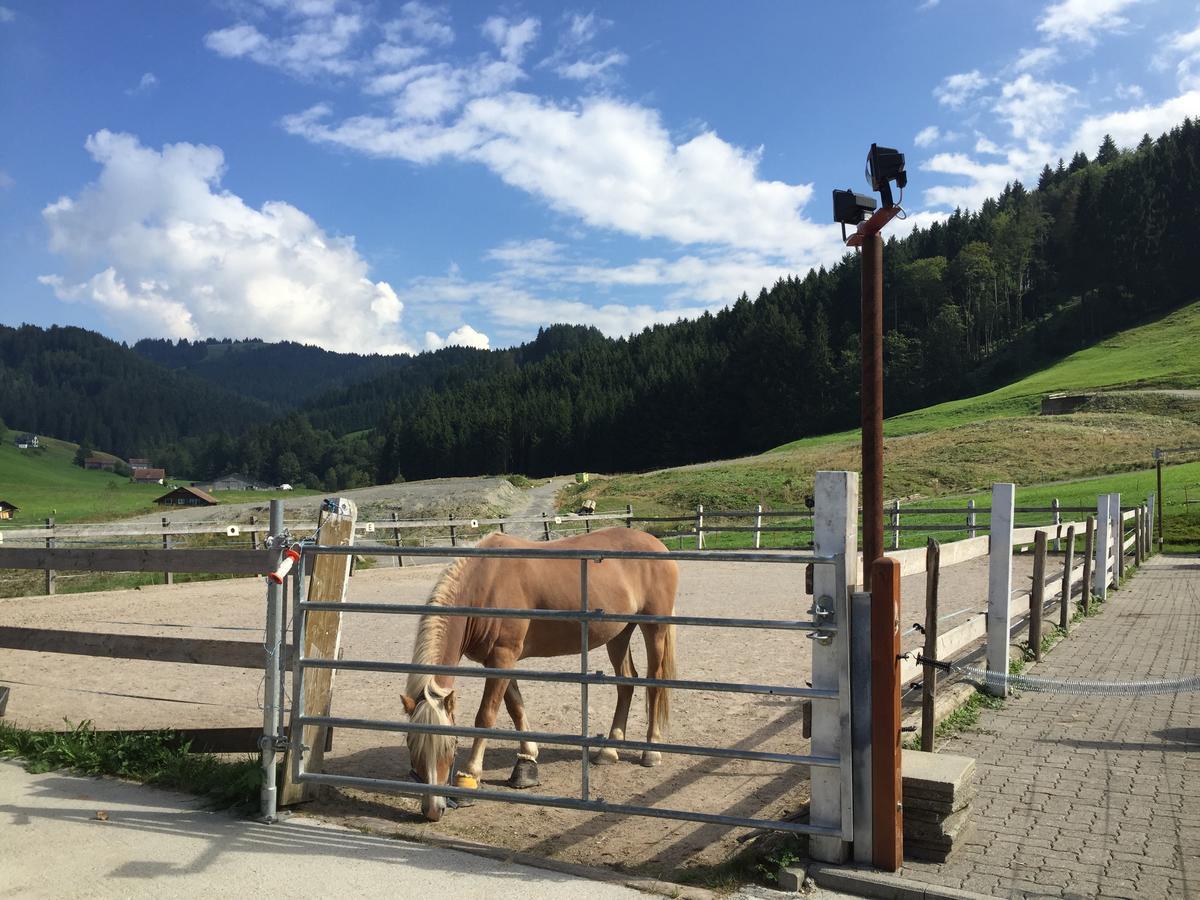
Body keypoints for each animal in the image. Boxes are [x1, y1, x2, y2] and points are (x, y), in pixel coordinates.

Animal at [403, 528, 681, 825]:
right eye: (411, 744)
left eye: (451, 746)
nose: (433, 810)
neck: (486, 582)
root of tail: (657, 544)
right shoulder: (500, 660)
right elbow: (515, 707)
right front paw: (526, 763)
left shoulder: (503, 656)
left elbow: (486, 716)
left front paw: (469, 779)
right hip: (619, 633)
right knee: (626, 683)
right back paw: (609, 750)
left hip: (654, 629)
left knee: (654, 684)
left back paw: (651, 751)